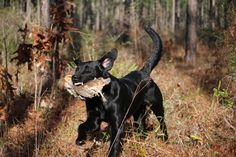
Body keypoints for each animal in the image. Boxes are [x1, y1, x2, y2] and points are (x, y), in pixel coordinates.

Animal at [72, 26, 168, 156]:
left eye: (88, 70)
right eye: (76, 69)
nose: (74, 77)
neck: (100, 99)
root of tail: (144, 72)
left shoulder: (117, 125)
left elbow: (113, 145)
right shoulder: (94, 120)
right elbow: (81, 125)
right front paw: (80, 139)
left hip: (157, 107)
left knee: (163, 124)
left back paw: (166, 140)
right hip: (138, 115)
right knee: (142, 130)